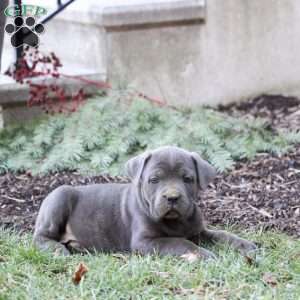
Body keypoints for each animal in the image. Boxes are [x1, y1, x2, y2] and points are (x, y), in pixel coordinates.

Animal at [33, 146, 258, 258]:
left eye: (187, 179)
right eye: (154, 180)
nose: (172, 197)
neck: (176, 222)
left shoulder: (198, 231)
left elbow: (222, 235)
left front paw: (246, 245)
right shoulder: (145, 242)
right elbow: (179, 242)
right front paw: (204, 254)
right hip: (59, 197)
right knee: (40, 236)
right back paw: (58, 250)